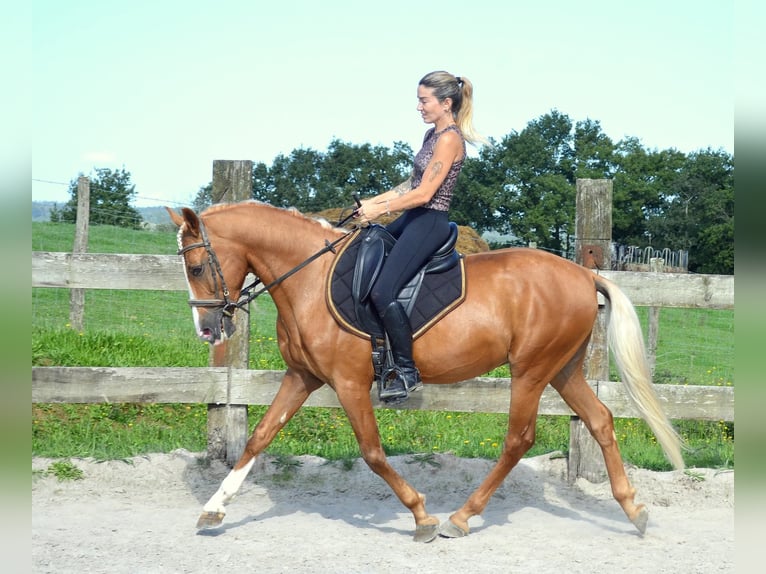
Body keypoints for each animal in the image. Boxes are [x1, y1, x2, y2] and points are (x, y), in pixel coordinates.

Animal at [166, 200, 684, 542]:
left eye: (197, 267)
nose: (208, 330)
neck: (308, 280)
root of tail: (584, 273)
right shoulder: (302, 378)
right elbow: (259, 438)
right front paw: (213, 511)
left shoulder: (349, 383)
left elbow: (373, 452)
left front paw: (421, 517)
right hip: (564, 370)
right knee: (600, 420)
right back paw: (633, 509)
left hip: (531, 371)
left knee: (519, 439)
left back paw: (461, 517)